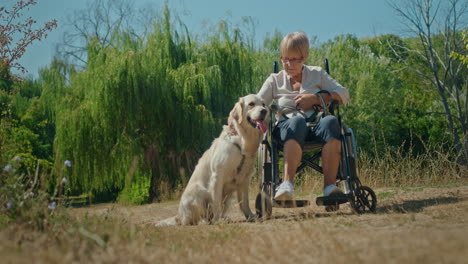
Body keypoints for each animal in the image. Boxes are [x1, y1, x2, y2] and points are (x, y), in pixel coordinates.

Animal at [156, 94, 268, 226]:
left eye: (263, 104)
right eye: (251, 104)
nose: (264, 111)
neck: (242, 140)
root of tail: (179, 216)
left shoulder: (245, 178)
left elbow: (244, 201)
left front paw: (250, 216)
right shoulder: (217, 175)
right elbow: (216, 202)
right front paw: (217, 220)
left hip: (228, 196)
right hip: (198, 191)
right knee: (193, 220)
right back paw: (205, 221)